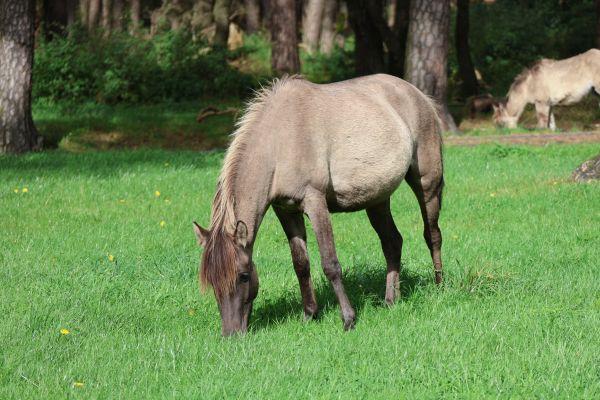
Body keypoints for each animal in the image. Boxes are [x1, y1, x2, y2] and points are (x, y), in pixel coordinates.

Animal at [193, 73, 446, 336]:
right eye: (211, 281)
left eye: (243, 276)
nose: (231, 334)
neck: (280, 140)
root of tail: (418, 94)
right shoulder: (285, 210)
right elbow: (301, 264)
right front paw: (309, 314)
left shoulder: (315, 203)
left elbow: (330, 263)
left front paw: (348, 319)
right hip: (377, 199)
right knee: (392, 242)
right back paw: (390, 300)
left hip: (427, 184)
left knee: (432, 235)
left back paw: (439, 286)